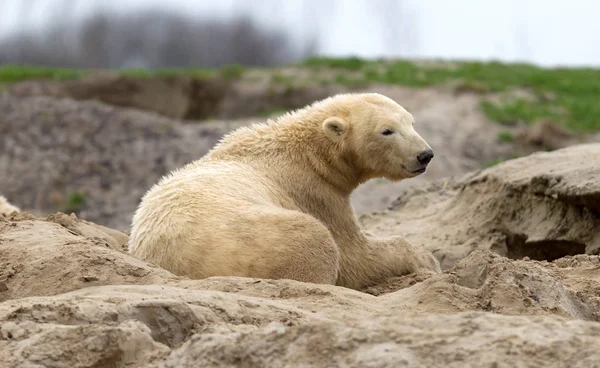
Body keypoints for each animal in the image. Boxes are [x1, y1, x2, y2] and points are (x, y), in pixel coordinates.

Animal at [129, 92, 440, 290]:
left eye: (411, 122)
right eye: (387, 130)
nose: (425, 155)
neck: (308, 153)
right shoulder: (316, 193)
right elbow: (356, 256)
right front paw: (427, 260)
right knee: (317, 241)